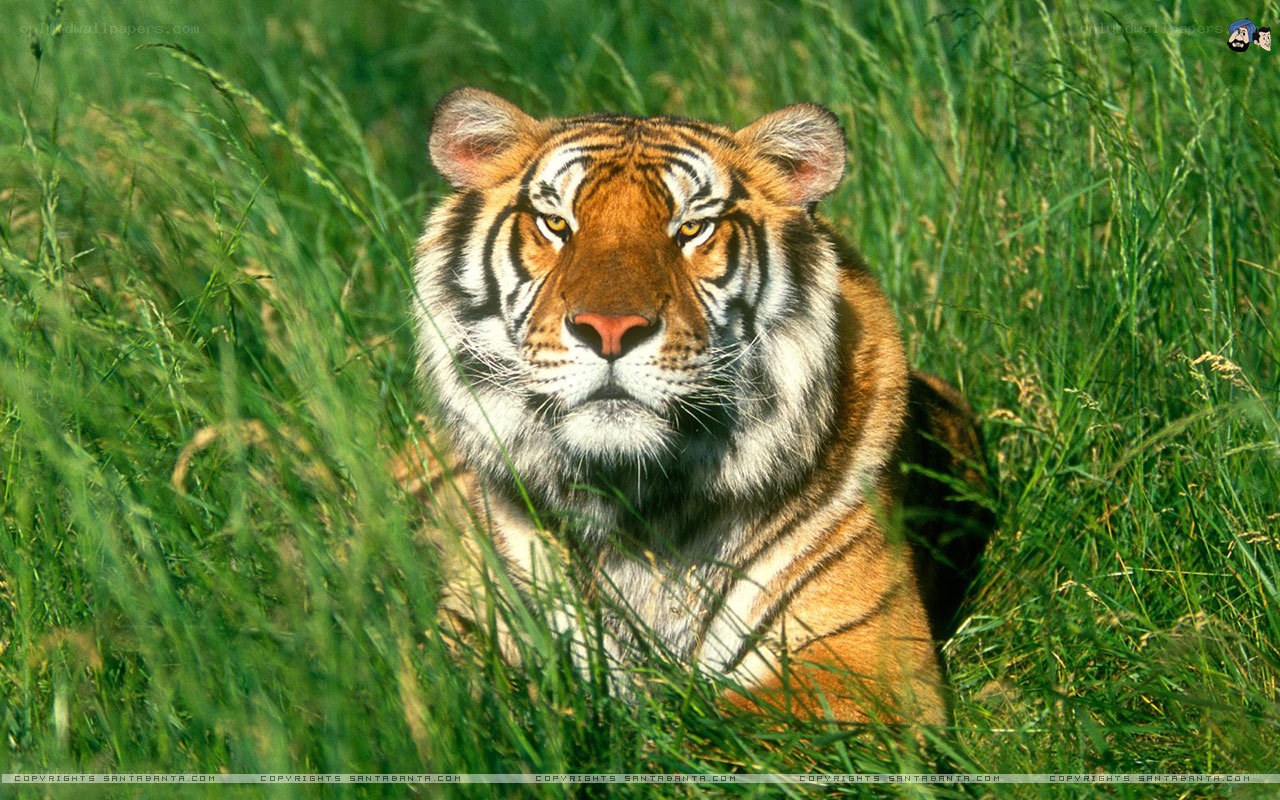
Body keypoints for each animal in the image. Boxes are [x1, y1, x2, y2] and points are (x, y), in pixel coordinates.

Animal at [407, 87, 991, 725]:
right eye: (556, 223)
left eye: (691, 229)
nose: (610, 330)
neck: (635, 503)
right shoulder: (471, 624)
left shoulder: (867, 664)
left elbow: (705, 729)